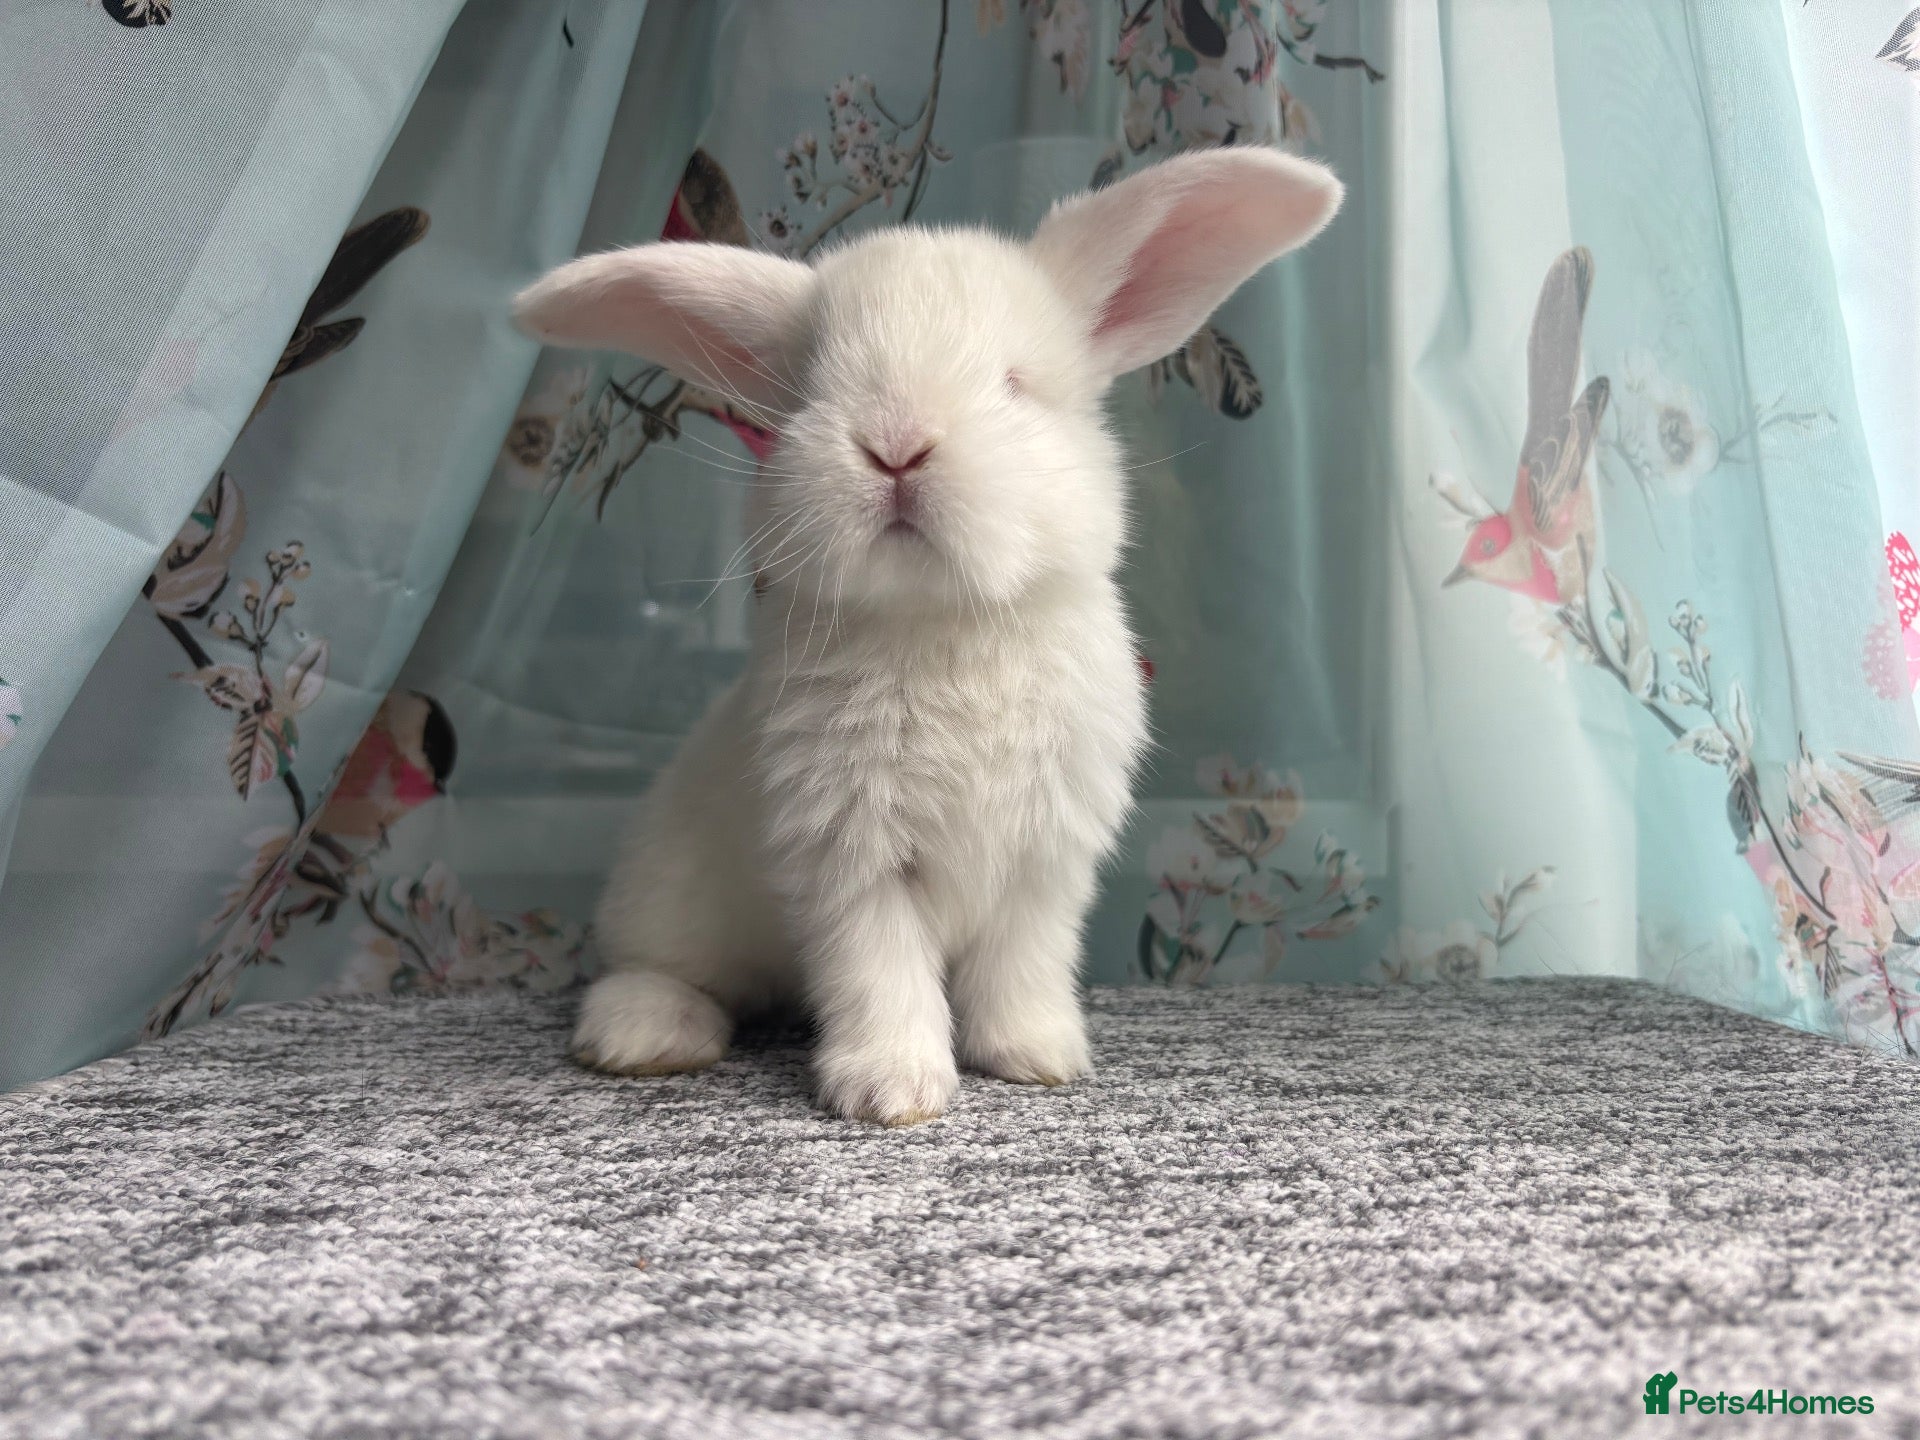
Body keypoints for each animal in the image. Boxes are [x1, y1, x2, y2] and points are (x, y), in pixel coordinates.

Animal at [512, 146, 1343, 1125]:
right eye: (808, 393)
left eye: (1014, 385)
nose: (896, 444)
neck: (946, 621)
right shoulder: (850, 862)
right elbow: (880, 973)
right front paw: (892, 1090)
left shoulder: (1045, 865)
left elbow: (1021, 966)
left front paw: (1035, 1055)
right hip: (666, 894)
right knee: (648, 970)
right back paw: (648, 1033)